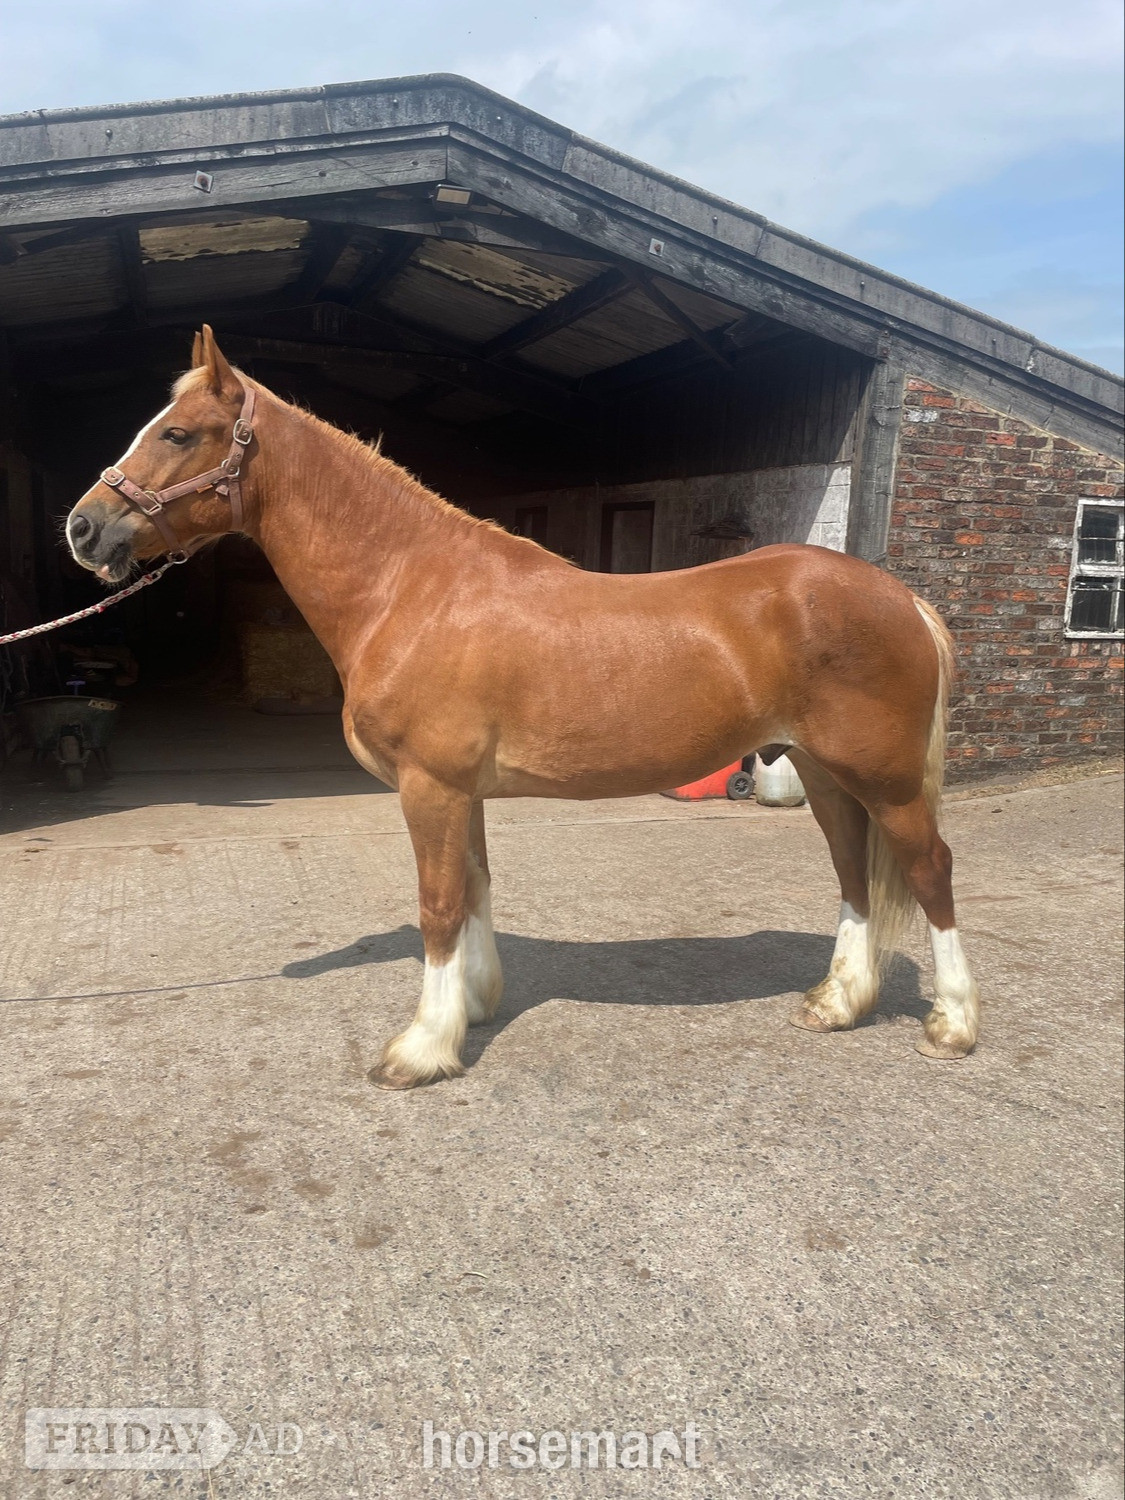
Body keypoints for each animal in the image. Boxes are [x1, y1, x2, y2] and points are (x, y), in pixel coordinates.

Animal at [64, 326, 981, 1090]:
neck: (411, 588)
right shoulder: (458, 792)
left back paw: (952, 1024)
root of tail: (900, 597)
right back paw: (837, 1004)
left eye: (178, 433)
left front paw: (421, 1050)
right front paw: (470, 1009)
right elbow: (473, 887)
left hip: (886, 780)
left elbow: (438, 905)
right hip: (824, 774)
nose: (83, 528)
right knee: (853, 873)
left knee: (929, 869)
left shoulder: (430, 787)